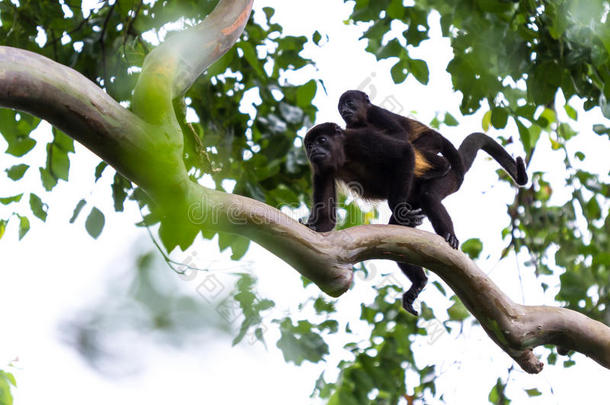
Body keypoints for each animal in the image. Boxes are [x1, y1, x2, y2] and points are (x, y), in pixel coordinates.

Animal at [304, 121, 528, 314]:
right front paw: (313, 227)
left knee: (429, 196)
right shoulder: (320, 169)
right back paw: (418, 281)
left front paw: (397, 207)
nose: (313, 150)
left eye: (321, 140)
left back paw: (448, 234)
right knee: (399, 240)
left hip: (449, 179)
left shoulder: (361, 140)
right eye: (309, 144)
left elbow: (403, 153)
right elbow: (327, 219)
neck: (343, 154)